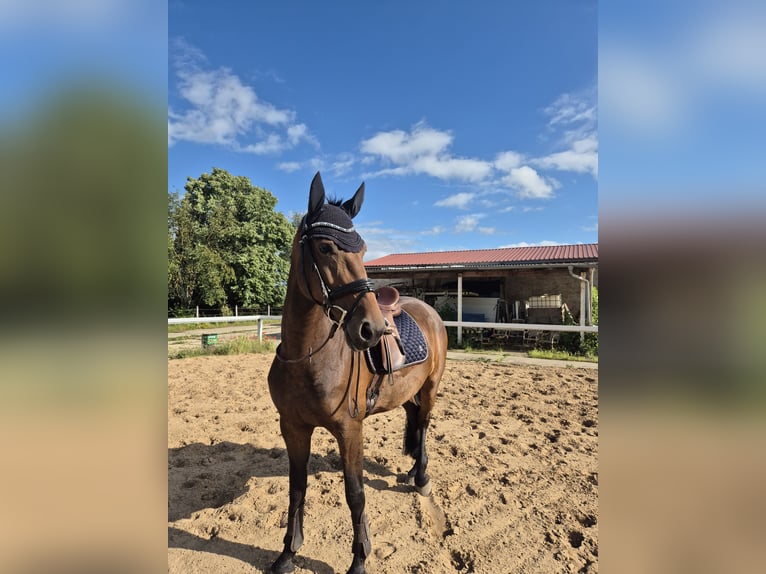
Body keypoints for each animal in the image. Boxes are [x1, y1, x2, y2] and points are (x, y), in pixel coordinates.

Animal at [267, 172, 448, 574]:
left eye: (363, 250)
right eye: (325, 247)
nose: (372, 329)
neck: (307, 358)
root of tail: (430, 310)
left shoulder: (350, 429)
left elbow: (355, 493)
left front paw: (360, 558)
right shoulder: (292, 427)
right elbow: (296, 488)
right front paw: (288, 552)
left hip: (430, 387)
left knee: (425, 425)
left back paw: (422, 477)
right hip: (407, 393)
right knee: (415, 421)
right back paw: (414, 470)